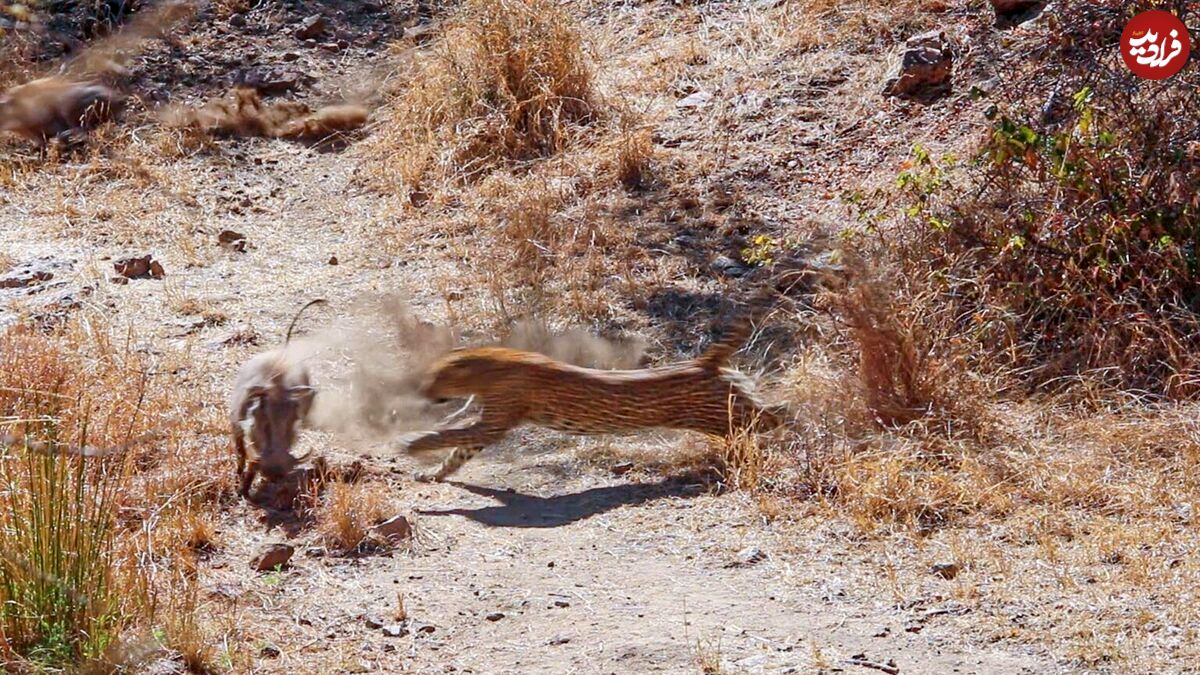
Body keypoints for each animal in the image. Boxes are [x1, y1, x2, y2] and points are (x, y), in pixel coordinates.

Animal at [398, 319, 782, 480]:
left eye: (432, 378)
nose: (420, 390)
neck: (486, 366)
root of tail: (703, 361)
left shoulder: (493, 423)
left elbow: (450, 435)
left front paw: (412, 443)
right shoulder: (487, 425)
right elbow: (456, 453)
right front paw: (432, 474)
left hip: (724, 415)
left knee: (776, 417)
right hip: (730, 407)